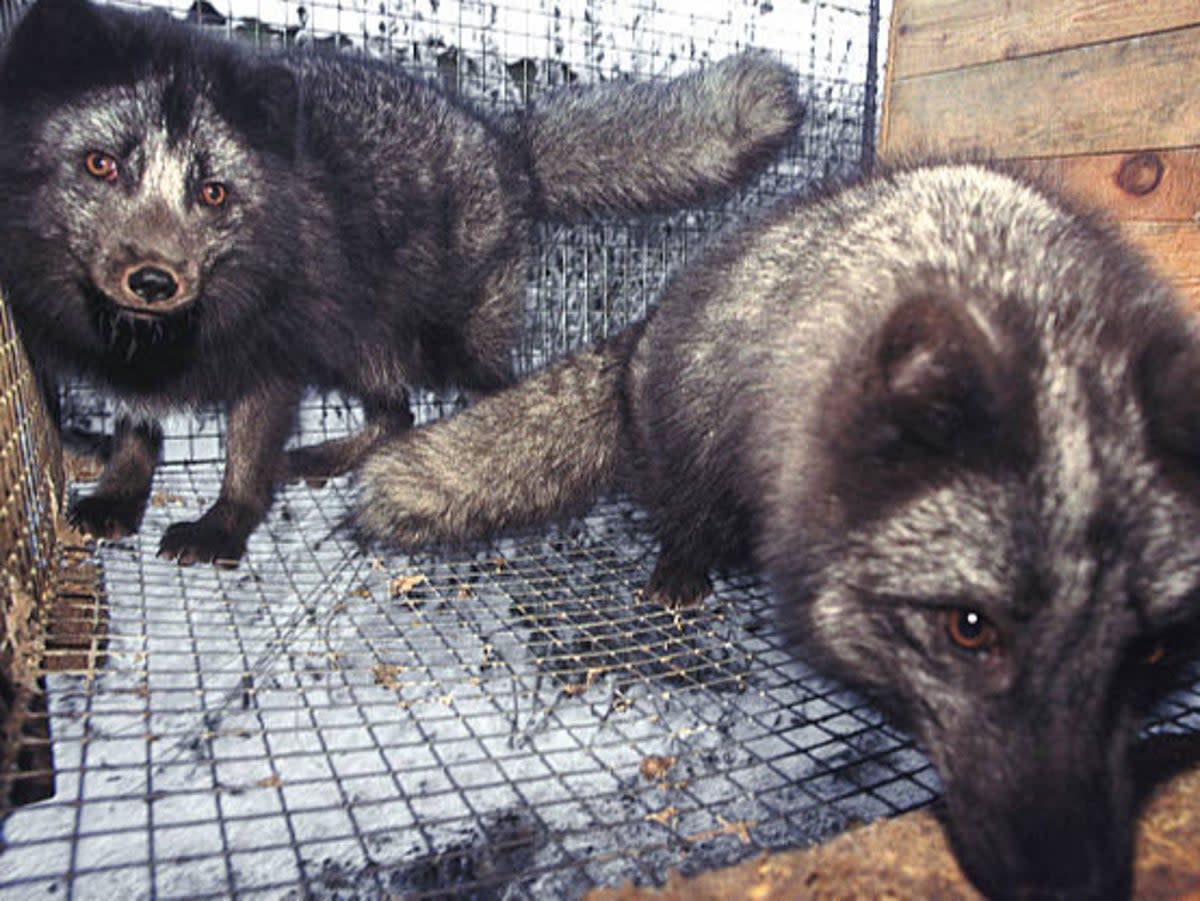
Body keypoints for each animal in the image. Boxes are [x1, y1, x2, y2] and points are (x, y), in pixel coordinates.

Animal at [0, 0, 806, 563]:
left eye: (213, 192)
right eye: (101, 165)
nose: (153, 279)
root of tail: (507, 146)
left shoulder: (275, 362)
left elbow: (245, 463)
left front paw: (224, 528)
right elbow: (136, 429)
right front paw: (119, 494)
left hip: (447, 339)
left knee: (471, 397)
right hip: (361, 341)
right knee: (396, 412)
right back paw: (332, 456)